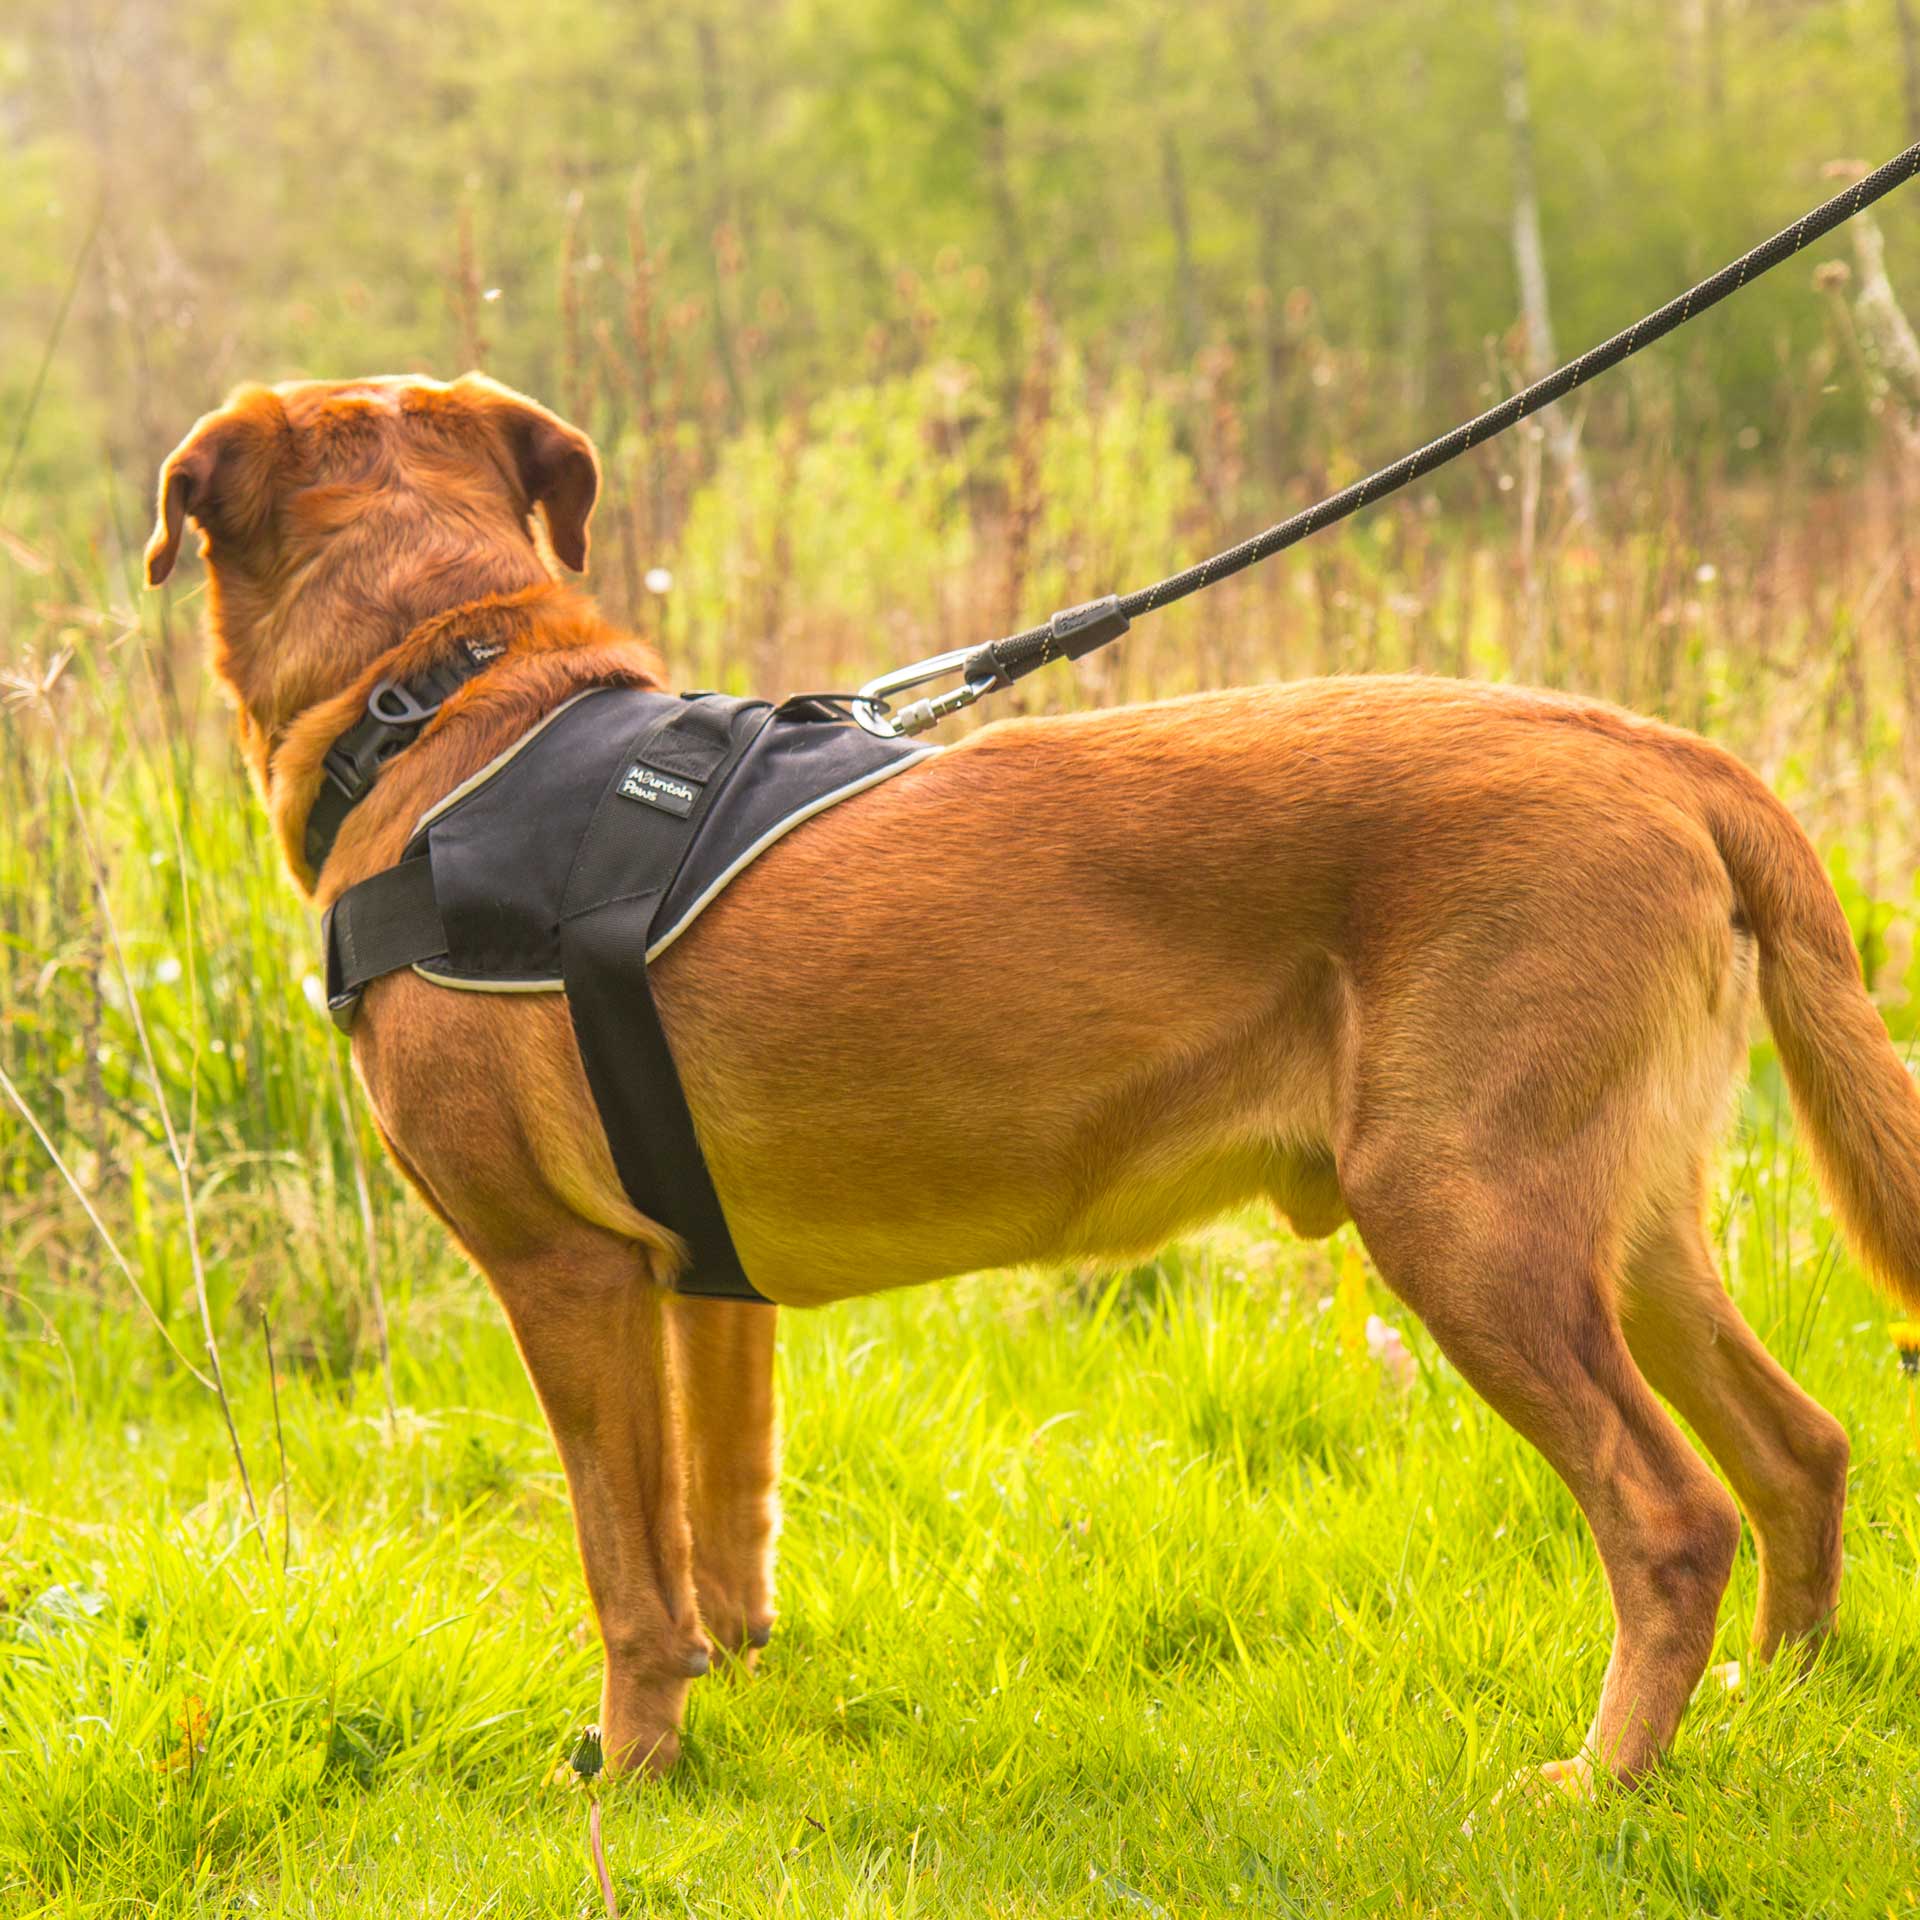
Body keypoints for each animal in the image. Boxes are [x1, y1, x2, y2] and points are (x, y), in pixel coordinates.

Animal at [145, 370, 1920, 1781]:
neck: (439, 695)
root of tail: (1665, 752)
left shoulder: (562, 1275)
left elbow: (622, 1569)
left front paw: (630, 1772)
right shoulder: (703, 1290)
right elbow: (720, 1537)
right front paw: (732, 1708)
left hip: (1464, 1215)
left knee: (1672, 1517)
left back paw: (1602, 1780)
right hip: (1623, 1227)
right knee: (1800, 1451)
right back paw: (1775, 1709)